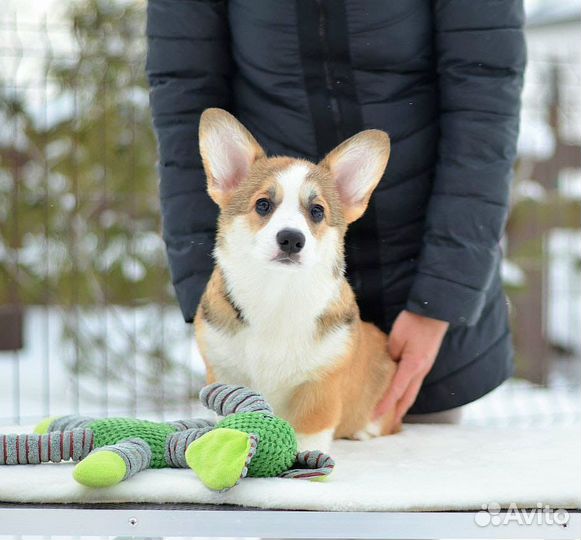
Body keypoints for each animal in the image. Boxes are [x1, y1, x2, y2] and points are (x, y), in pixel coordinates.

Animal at [195, 108, 398, 452]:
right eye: (263, 205)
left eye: (317, 211)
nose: (291, 239)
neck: (277, 293)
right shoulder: (225, 373)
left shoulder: (319, 390)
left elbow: (306, 439)